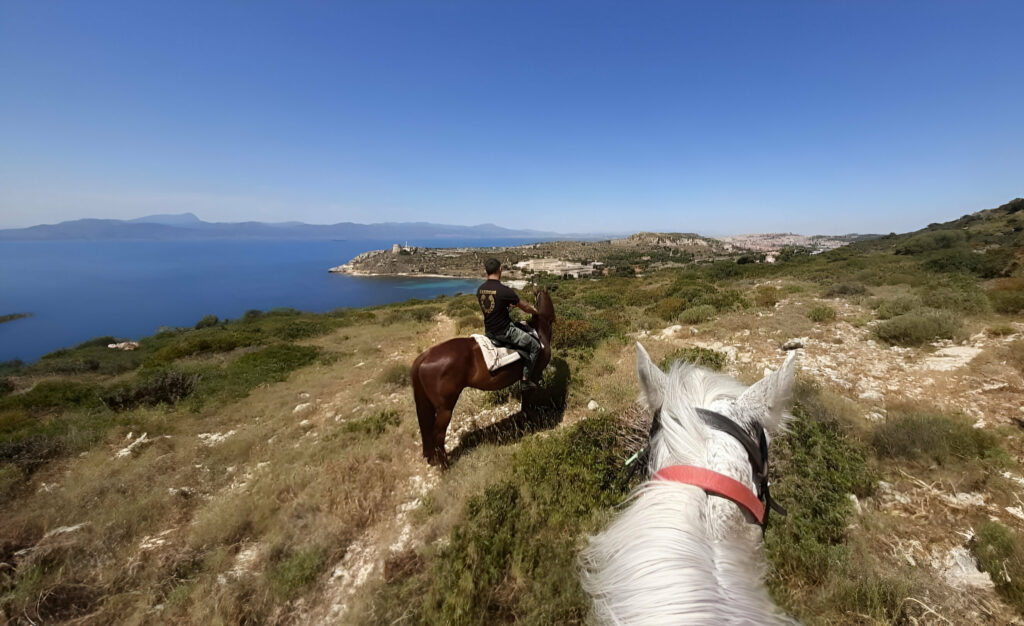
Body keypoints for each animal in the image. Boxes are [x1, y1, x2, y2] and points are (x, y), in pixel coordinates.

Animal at [410, 287, 555, 467]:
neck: (539, 331)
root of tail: (424, 357)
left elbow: (525, 400)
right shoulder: (534, 375)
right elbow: (528, 400)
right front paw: (533, 420)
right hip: (445, 408)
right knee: (438, 434)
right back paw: (445, 465)